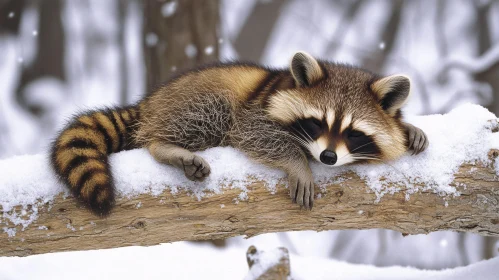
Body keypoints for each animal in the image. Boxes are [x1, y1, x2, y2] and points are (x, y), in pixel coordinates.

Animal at [50, 51, 428, 215]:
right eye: (317, 123)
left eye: (352, 133)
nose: (328, 157)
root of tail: (148, 104)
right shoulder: (255, 109)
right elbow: (254, 132)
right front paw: (297, 162)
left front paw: (410, 129)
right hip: (195, 100)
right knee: (206, 113)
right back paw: (164, 145)